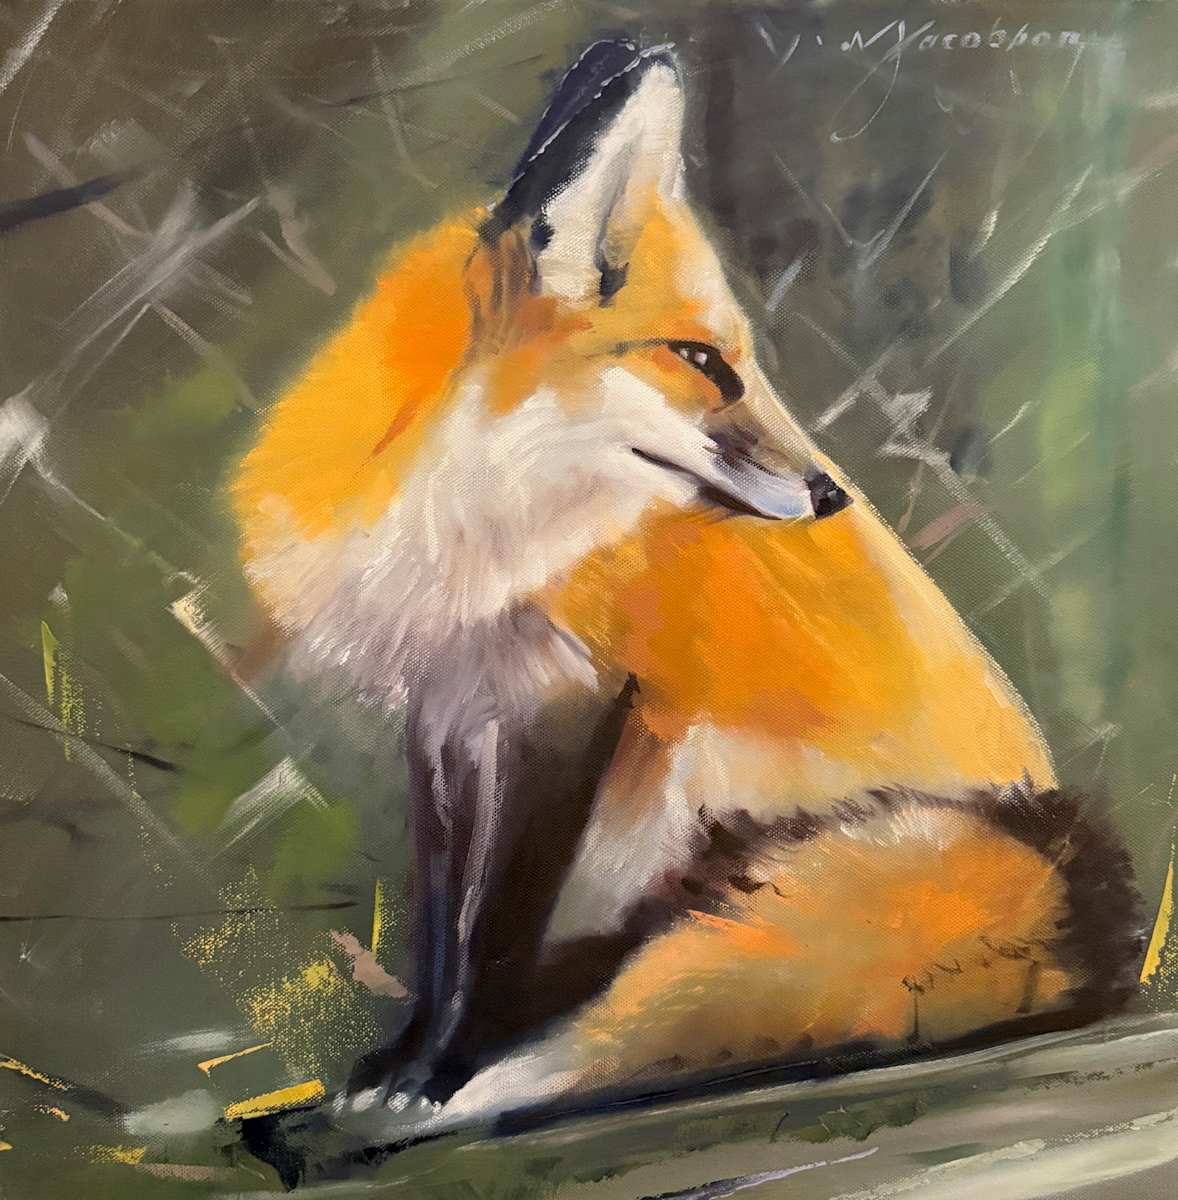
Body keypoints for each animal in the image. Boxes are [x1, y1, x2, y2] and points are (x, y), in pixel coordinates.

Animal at [232, 40, 1143, 1139]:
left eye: (732, 360)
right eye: (702, 361)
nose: (830, 495)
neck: (473, 531)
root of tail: (1067, 893)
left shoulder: (567, 702)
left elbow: (496, 926)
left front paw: (443, 1073)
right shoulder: (448, 711)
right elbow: (445, 921)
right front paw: (406, 1062)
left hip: (701, 796)